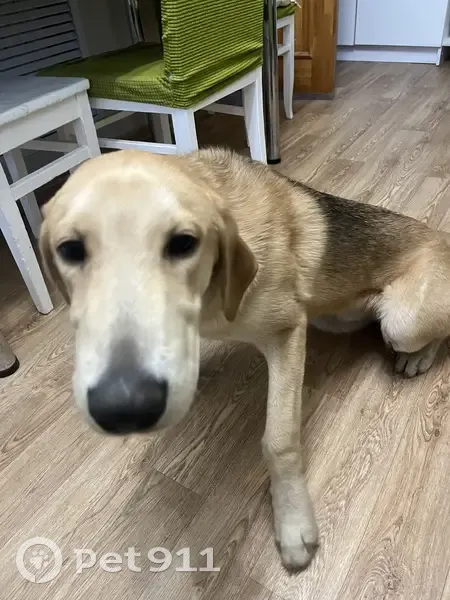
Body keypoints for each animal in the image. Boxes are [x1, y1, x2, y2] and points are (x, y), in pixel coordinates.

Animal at [39, 148, 450, 571]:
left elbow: (279, 441)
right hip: (338, 318)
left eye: (183, 243)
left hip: (402, 323)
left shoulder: (287, 333)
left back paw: (419, 358)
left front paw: (292, 521)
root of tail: (443, 238)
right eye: (69, 250)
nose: (124, 408)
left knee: (432, 332)